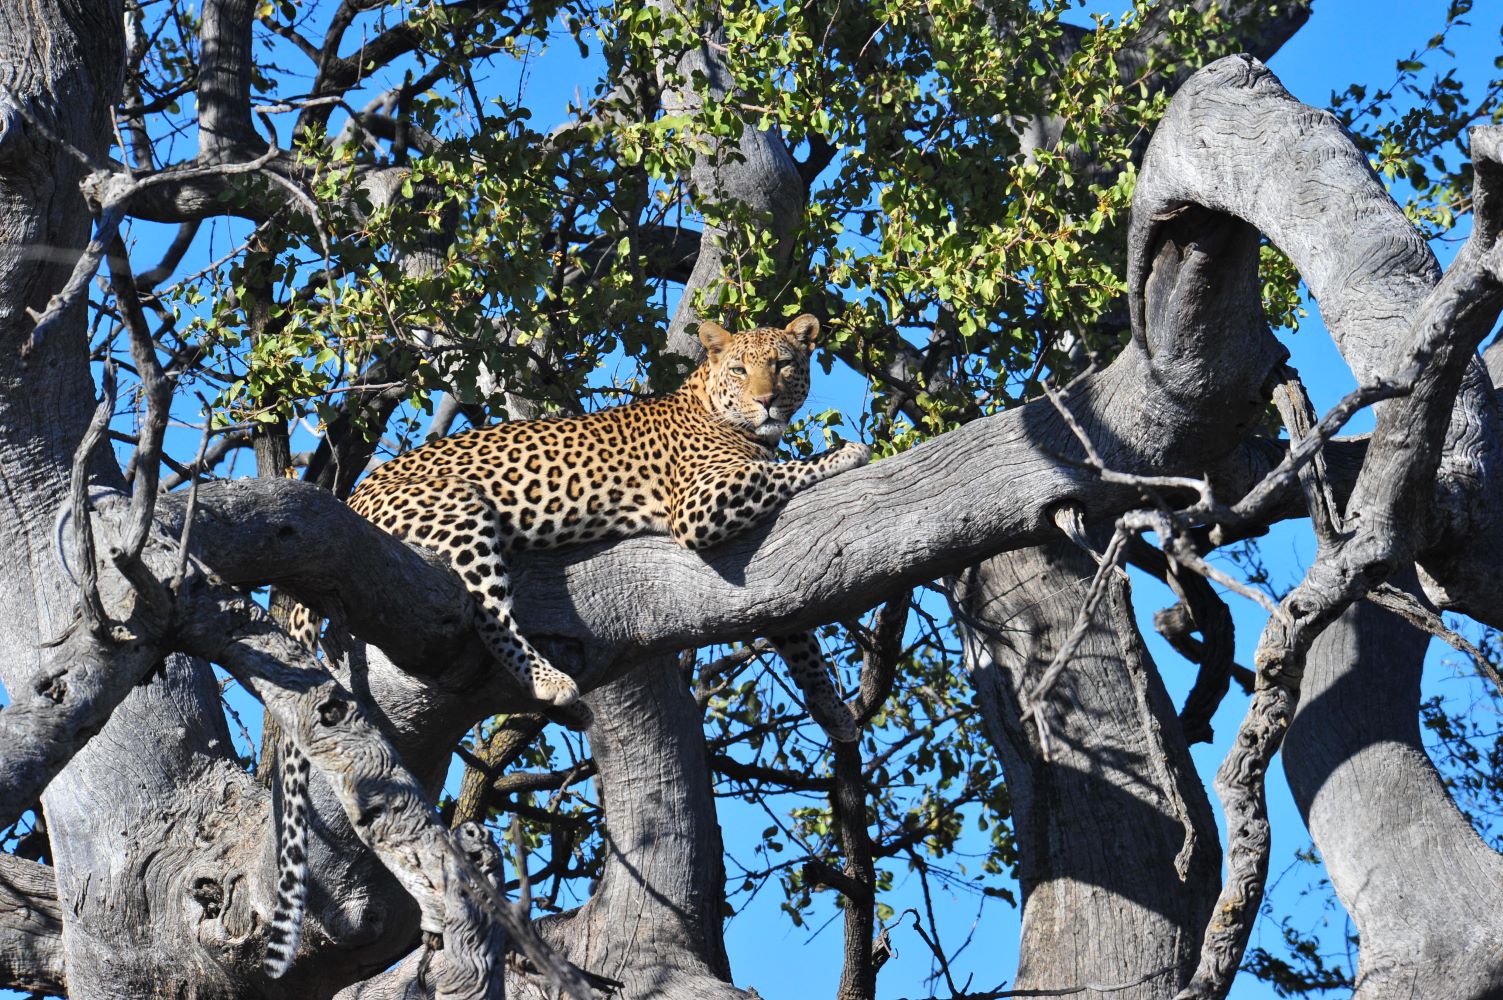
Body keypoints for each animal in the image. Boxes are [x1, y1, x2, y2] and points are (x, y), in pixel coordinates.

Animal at [262, 314, 870, 977]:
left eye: (784, 364)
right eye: (740, 369)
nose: (767, 401)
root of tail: (351, 497)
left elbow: (796, 632)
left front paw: (833, 711)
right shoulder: (701, 505)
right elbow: (782, 471)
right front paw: (846, 452)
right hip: (463, 510)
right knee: (488, 613)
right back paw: (549, 679)